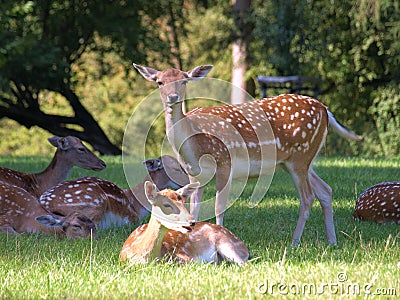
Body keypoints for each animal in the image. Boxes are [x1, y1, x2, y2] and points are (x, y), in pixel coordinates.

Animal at [39, 156, 190, 229]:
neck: (135, 203)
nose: (189, 182)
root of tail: (44, 203)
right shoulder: (131, 218)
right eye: (175, 169)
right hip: (96, 201)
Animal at [119, 179, 250, 264]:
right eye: (166, 204)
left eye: (183, 202)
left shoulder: (184, 255)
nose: (192, 221)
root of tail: (245, 247)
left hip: (227, 244)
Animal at [132, 63, 362, 246]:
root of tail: (325, 110)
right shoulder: (195, 174)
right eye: (159, 82)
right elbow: (194, 208)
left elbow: (219, 206)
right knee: (325, 190)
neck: (193, 144)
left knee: (307, 197)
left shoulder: (224, 162)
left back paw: (294, 243)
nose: (173, 97)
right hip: (301, 161)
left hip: (300, 157)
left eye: (184, 80)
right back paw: (332, 241)